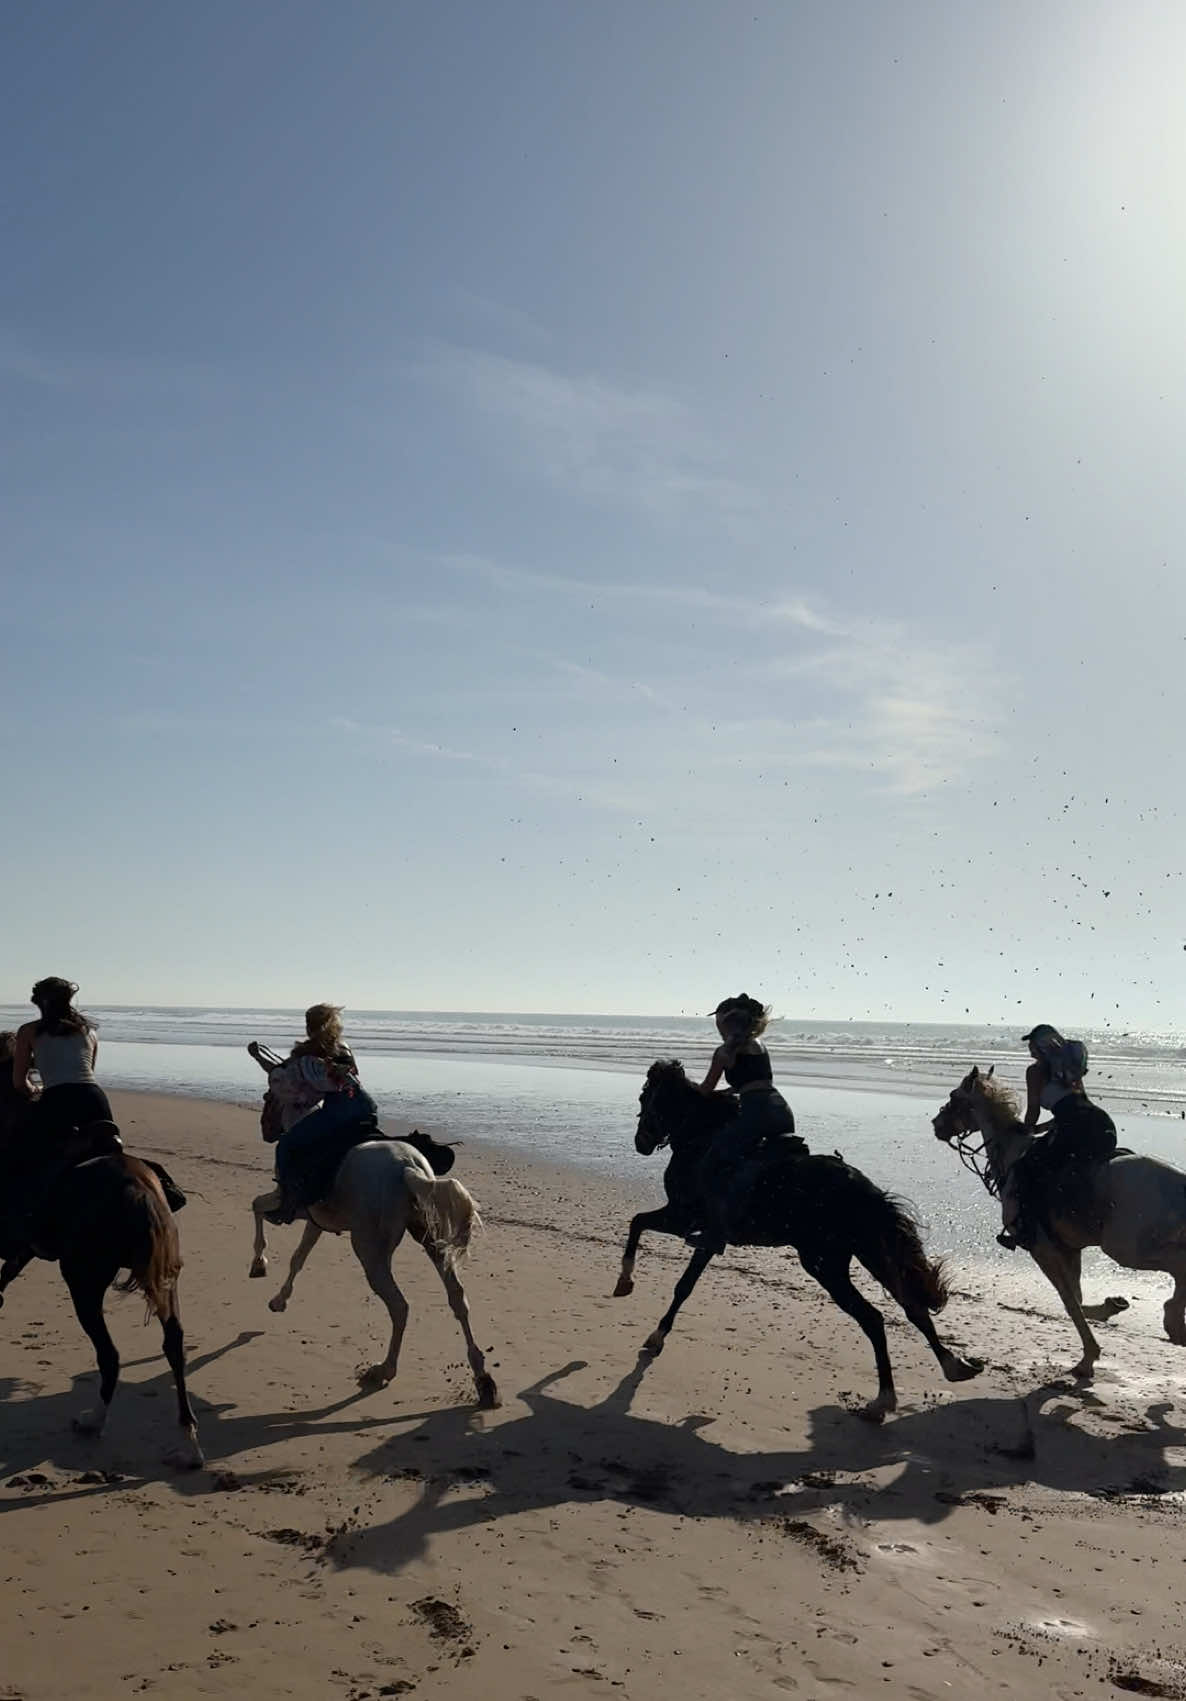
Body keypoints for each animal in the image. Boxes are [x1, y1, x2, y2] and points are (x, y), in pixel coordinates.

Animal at [0, 1095, 201, 1469]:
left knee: (109, 1355)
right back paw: (190, 1443)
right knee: (174, 1346)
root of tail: (137, 1188)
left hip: (82, 1279)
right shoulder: (22, 1249)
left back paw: (93, 1421)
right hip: (166, 1280)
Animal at [250, 1143, 500, 1408]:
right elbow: (298, 1257)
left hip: (370, 1251)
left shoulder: (295, 1206)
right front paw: (280, 1298)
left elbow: (257, 1206)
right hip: (429, 1238)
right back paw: (483, 1379)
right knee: (457, 1297)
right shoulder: (314, 1219)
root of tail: (407, 1166)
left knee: (399, 1306)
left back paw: (383, 1370)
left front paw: (259, 1264)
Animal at [609, 1061, 980, 1422]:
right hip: (868, 1253)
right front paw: (628, 1287)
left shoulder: (689, 1222)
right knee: (909, 1309)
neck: (701, 1140)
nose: (641, 1141)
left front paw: (649, 1322)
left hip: (824, 1264)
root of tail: (863, 1189)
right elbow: (642, 1229)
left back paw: (884, 1399)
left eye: (646, 1098)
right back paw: (948, 1370)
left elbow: (675, 1275)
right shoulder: (688, 1223)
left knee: (874, 1317)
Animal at [932, 1061, 1184, 1381]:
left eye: (954, 1097)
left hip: (1125, 1248)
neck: (1013, 1156)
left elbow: (1069, 1301)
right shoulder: (1069, 1248)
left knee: (1178, 1265)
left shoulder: (1042, 1248)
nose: (936, 1124)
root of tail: (1178, 1183)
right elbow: (1076, 1297)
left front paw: (1088, 1358)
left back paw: (1173, 1320)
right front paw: (1109, 1308)